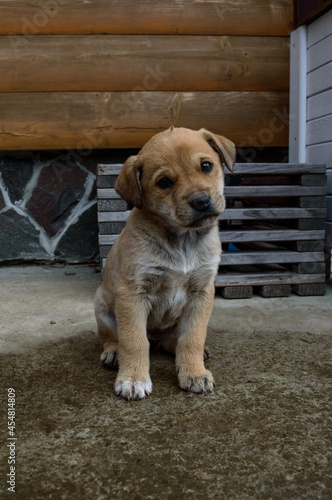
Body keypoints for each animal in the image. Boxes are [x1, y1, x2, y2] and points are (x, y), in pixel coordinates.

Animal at [94, 127, 236, 400]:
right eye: (164, 183)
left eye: (206, 166)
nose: (202, 202)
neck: (182, 239)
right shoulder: (132, 293)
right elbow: (134, 340)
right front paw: (133, 379)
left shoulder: (201, 292)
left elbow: (192, 337)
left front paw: (193, 373)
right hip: (102, 307)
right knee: (114, 338)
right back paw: (114, 353)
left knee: (175, 341)